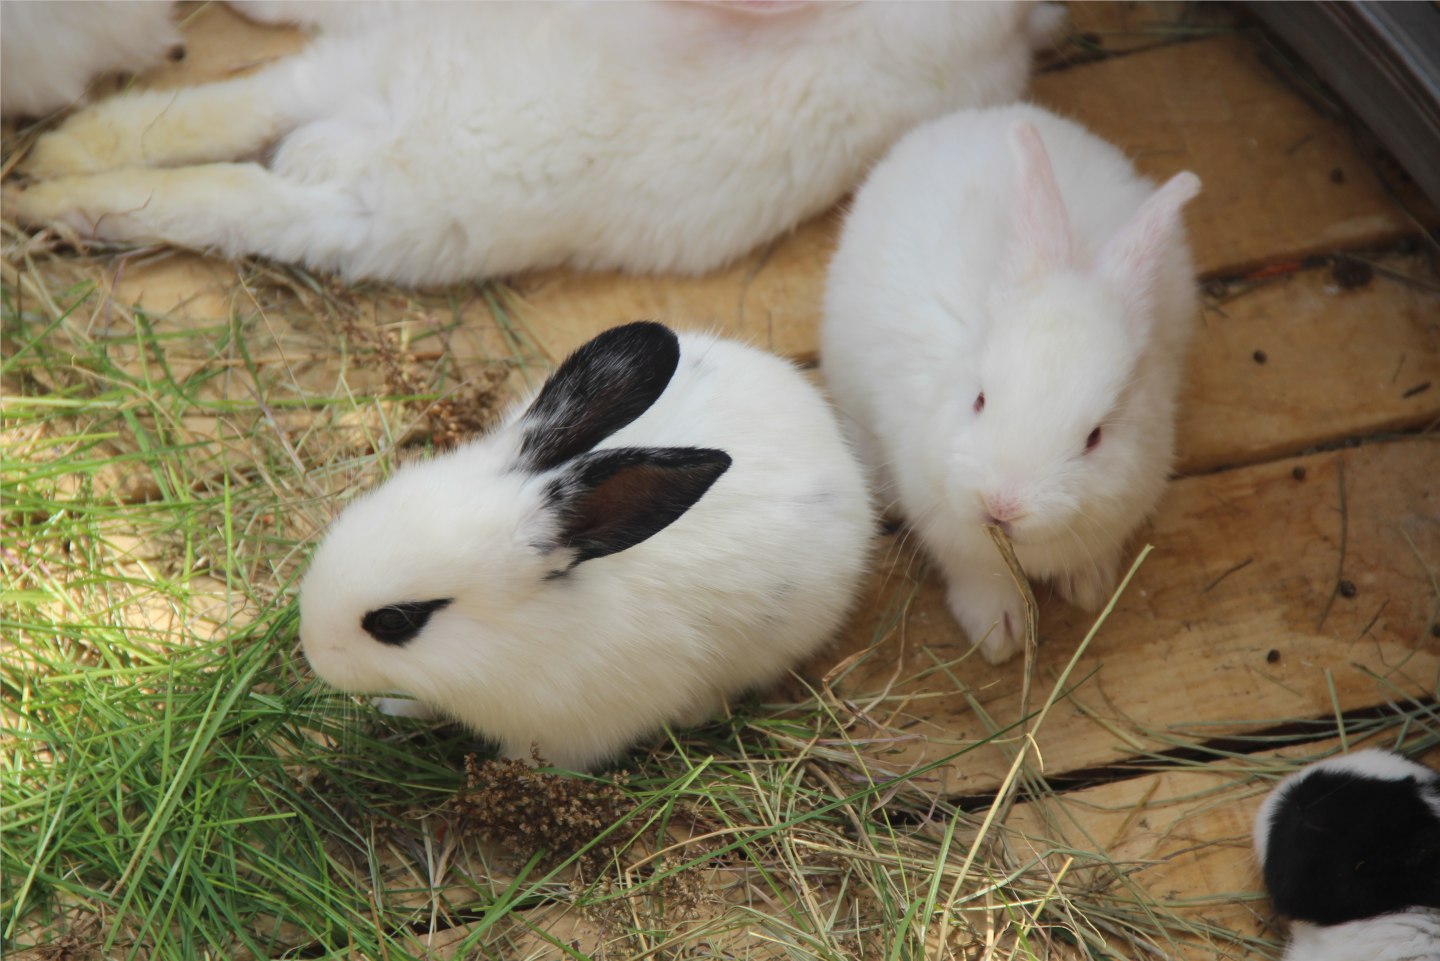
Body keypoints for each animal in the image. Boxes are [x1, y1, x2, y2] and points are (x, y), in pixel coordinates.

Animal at [817, 103, 1198, 662]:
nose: (1002, 505)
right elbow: (981, 577)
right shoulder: (954, 537)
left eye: (1095, 437)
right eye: (979, 400)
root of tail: (985, 113)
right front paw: (999, 634)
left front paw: (1089, 590)